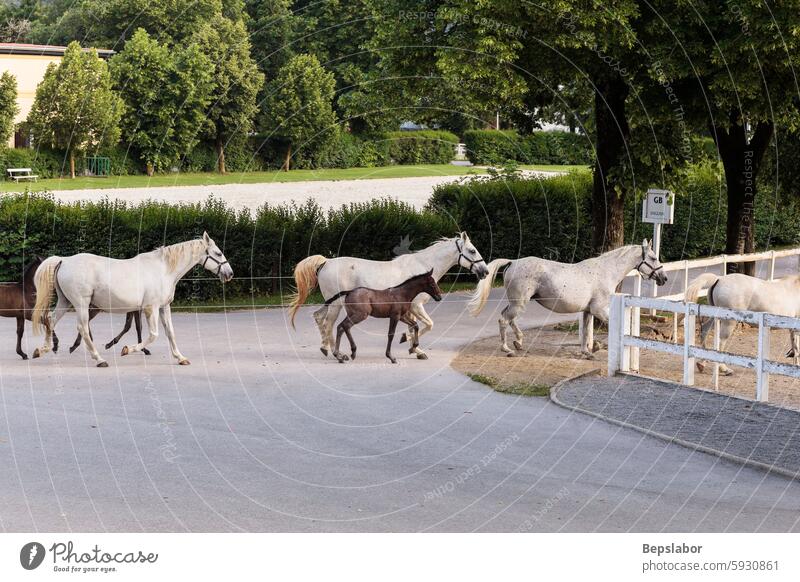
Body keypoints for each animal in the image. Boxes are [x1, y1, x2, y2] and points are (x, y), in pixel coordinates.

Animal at [31, 235, 231, 368]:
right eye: (218, 253)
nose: (229, 273)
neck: (163, 270)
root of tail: (63, 261)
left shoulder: (164, 307)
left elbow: (170, 333)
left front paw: (180, 358)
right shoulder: (151, 308)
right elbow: (153, 335)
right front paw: (127, 349)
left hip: (65, 302)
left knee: (50, 320)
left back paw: (42, 349)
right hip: (81, 304)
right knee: (82, 328)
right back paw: (99, 359)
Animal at [288, 234, 488, 360]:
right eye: (472, 250)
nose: (485, 271)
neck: (422, 267)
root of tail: (325, 262)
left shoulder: (409, 309)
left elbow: (415, 326)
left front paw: (414, 348)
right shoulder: (417, 306)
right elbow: (428, 324)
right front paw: (410, 344)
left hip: (330, 303)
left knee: (319, 318)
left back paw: (326, 349)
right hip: (336, 304)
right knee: (330, 324)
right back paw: (338, 353)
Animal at [468, 240, 668, 358]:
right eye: (653, 257)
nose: (663, 278)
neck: (606, 271)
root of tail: (513, 262)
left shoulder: (588, 311)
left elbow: (586, 331)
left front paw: (587, 351)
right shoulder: (599, 310)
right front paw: (596, 347)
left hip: (517, 303)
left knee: (508, 319)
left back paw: (518, 342)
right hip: (519, 304)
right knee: (504, 319)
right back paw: (508, 349)